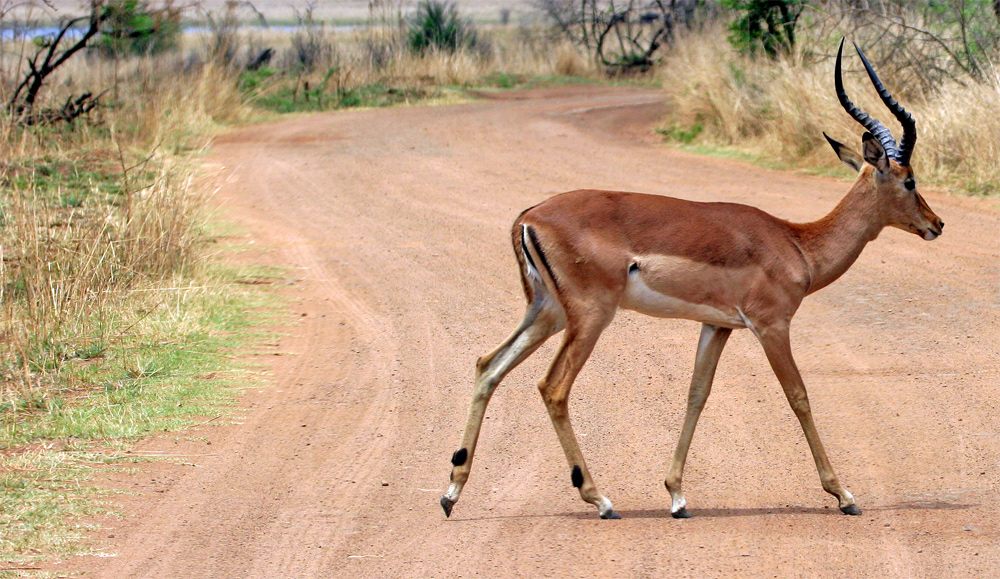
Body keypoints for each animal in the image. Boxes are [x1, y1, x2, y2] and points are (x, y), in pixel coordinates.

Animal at [442, 40, 940, 520]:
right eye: (910, 180)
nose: (936, 224)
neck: (796, 244)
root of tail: (528, 217)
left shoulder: (717, 325)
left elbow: (696, 394)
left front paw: (677, 496)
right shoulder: (771, 325)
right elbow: (798, 395)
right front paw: (844, 494)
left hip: (547, 312)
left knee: (488, 365)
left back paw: (451, 493)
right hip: (589, 315)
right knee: (553, 388)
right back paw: (600, 500)